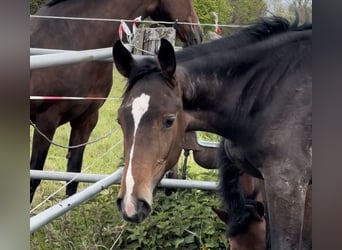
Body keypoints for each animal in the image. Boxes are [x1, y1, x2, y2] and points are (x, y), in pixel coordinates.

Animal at [29, 0, 203, 202]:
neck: (74, 38)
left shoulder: (86, 120)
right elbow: (34, 177)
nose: (198, 35)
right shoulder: (46, 121)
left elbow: (73, 176)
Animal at [113, 16, 312, 249]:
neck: (273, 92)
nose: (131, 204)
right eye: (120, 120)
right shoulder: (268, 180)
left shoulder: (288, 185)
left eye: (169, 120)